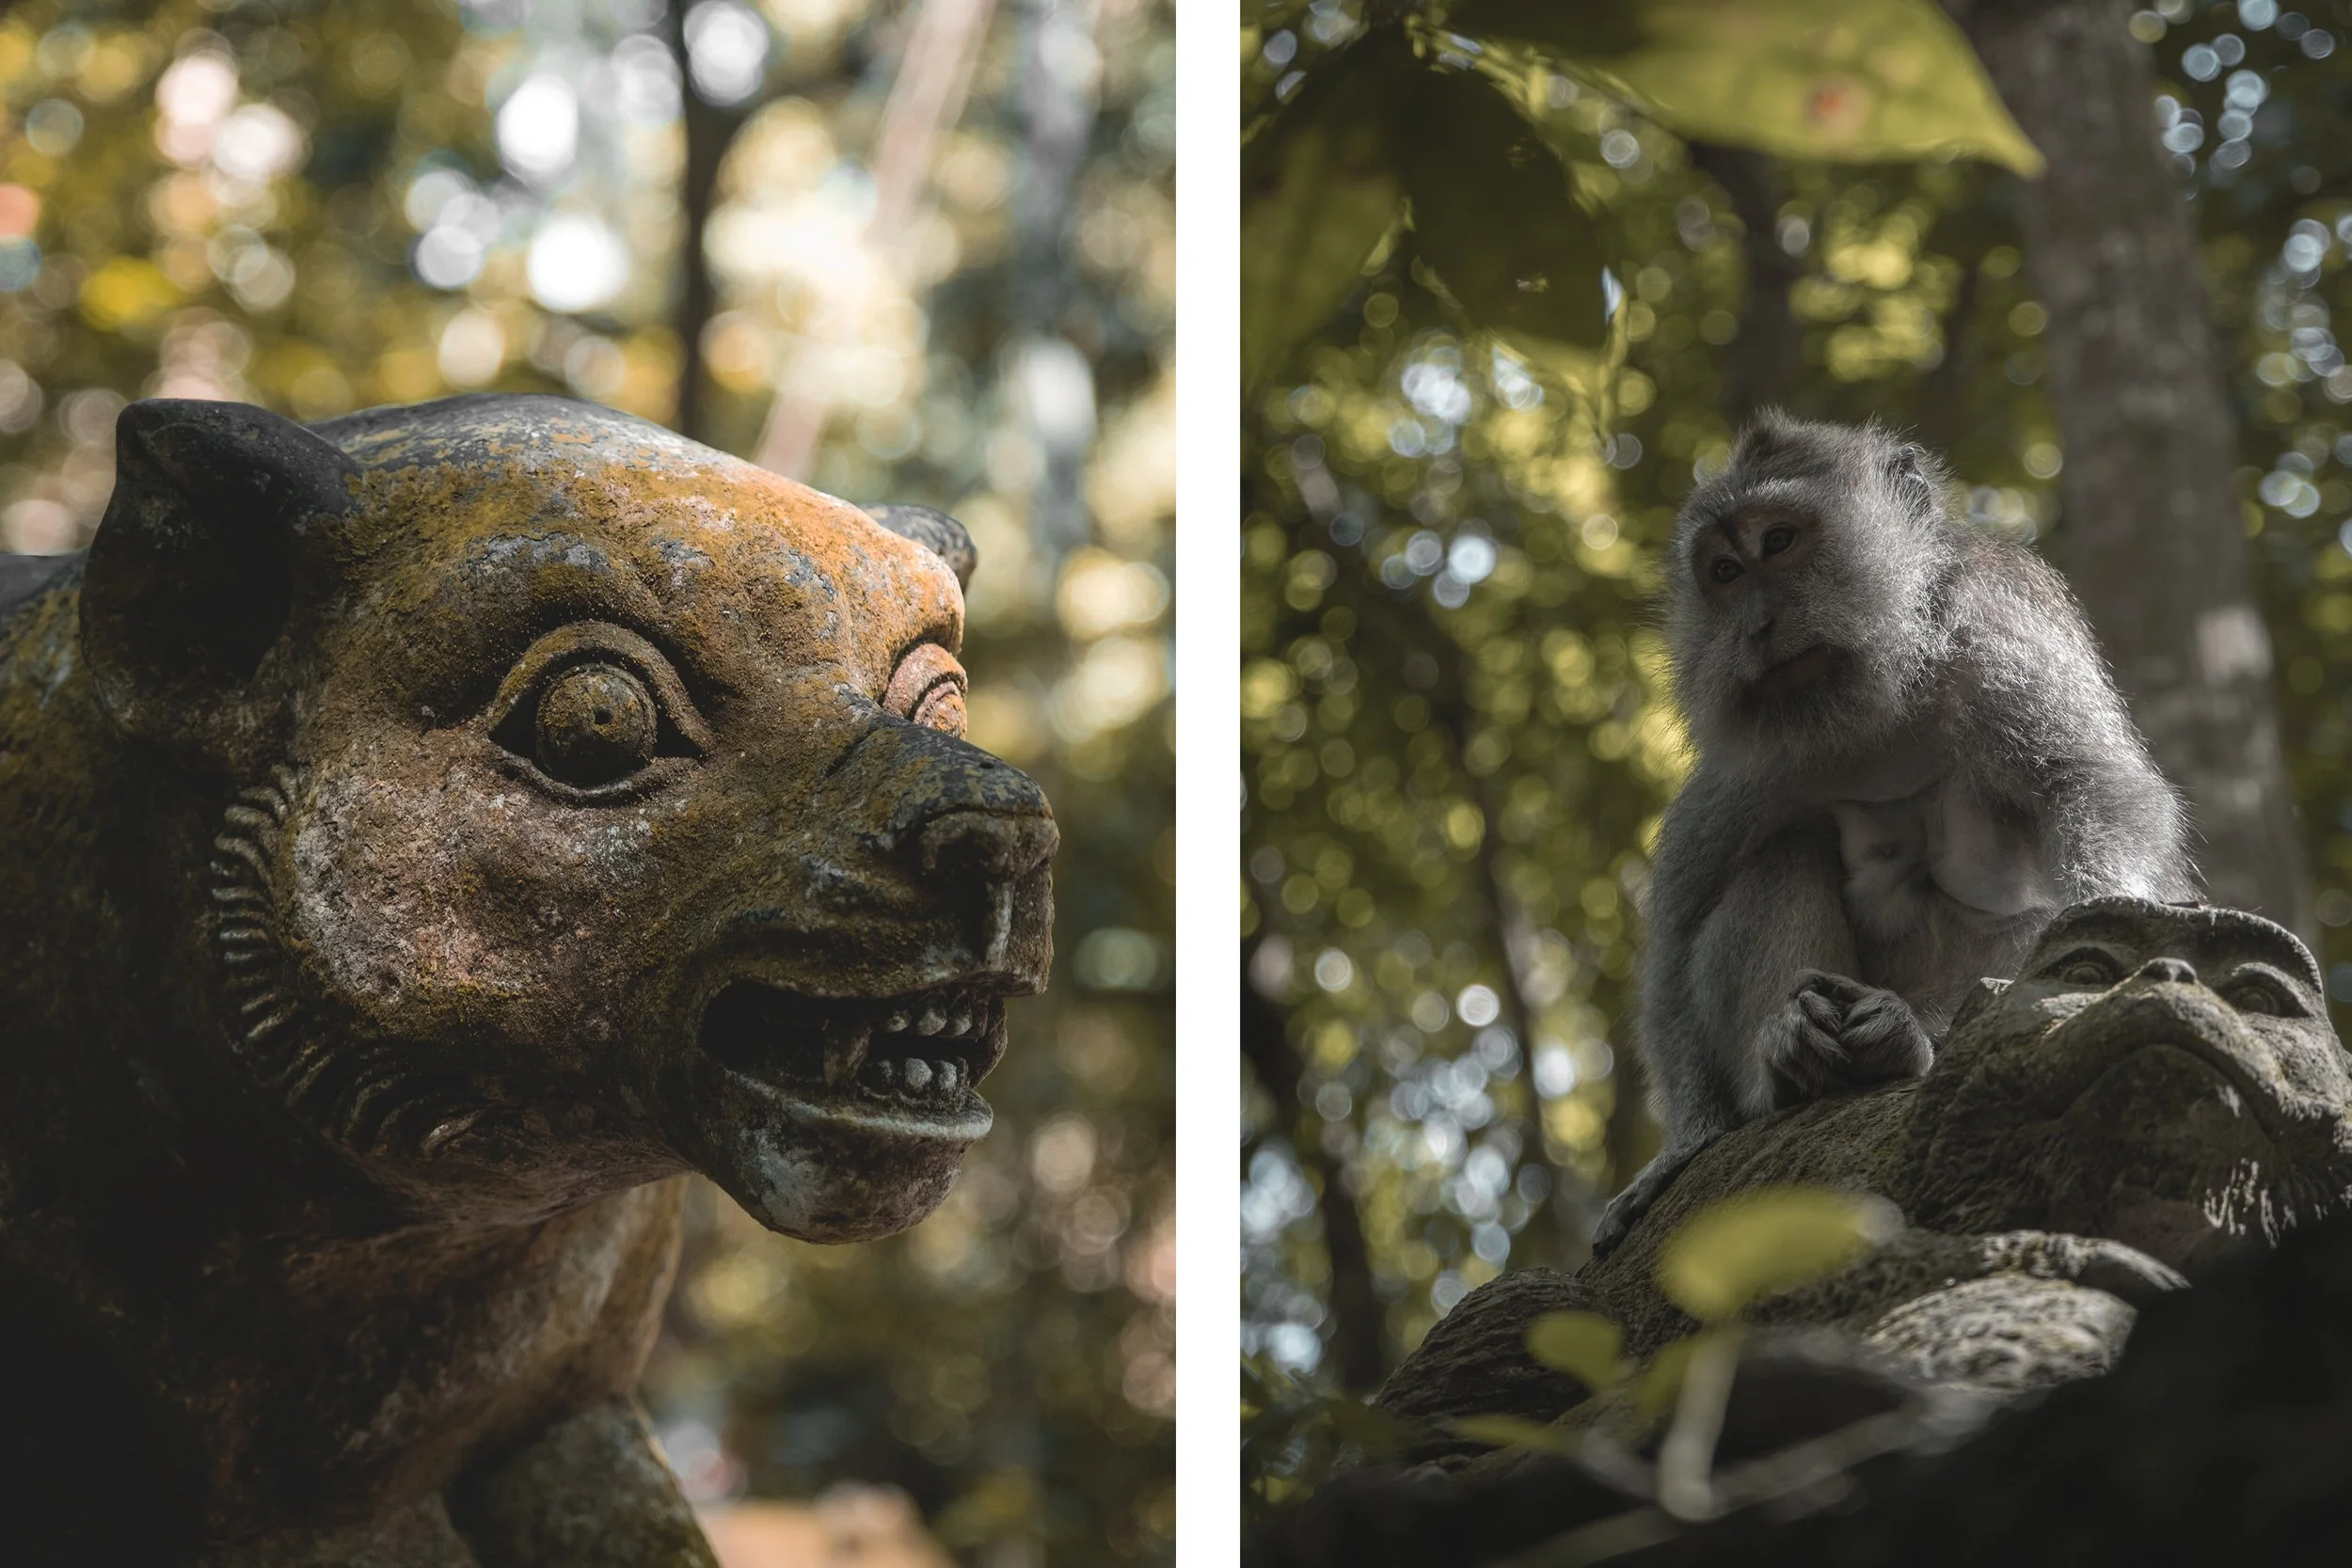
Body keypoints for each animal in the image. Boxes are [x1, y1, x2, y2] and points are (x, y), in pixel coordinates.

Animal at [1590, 412, 2197, 1255]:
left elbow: (2094, 795)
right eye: (1724, 571)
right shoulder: (1754, 761)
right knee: (1783, 858)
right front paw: (1687, 1142)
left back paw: (1905, 1042)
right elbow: (1680, 930)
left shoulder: (1997, 624)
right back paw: (1790, 1064)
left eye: (1779, 541)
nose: (1759, 626)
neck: (1878, 700)